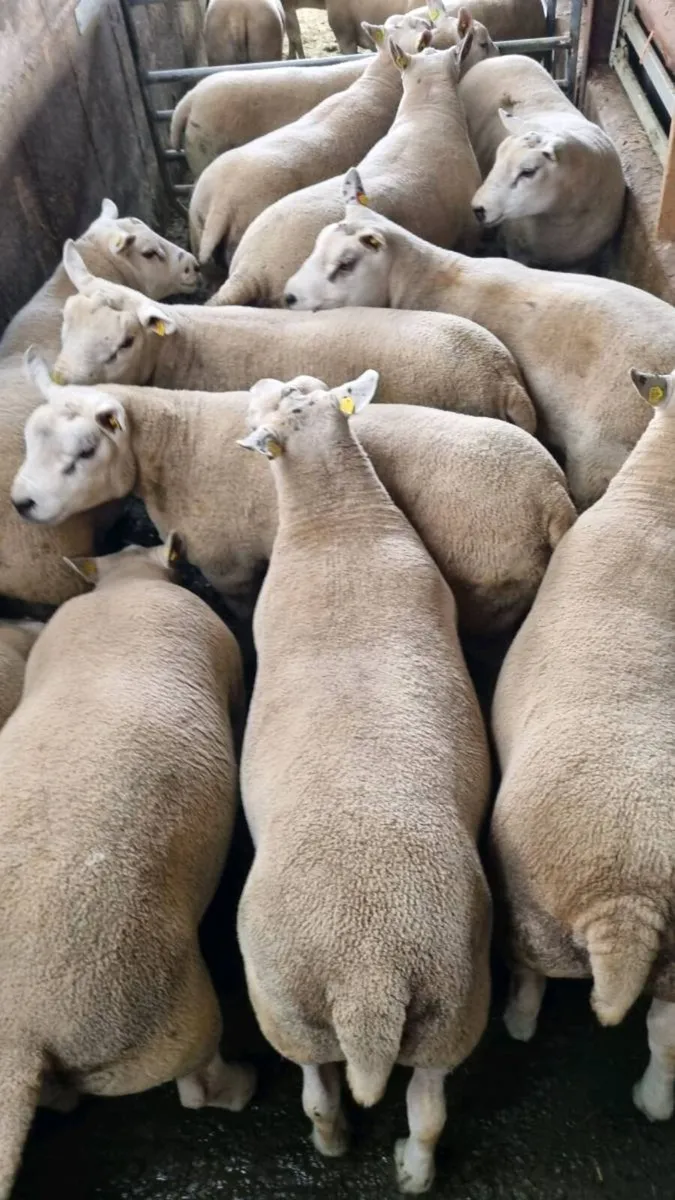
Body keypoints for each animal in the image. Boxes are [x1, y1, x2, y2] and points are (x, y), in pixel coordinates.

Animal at [13, 357, 573, 631]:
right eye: (29, 436)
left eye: (86, 451)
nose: (22, 503)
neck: (177, 446)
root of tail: (550, 496)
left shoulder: (228, 566)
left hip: (490, 588)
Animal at [236, 370, 492, 1192]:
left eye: (285, 399)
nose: (262, 380)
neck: (336, 525)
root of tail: (367, 976)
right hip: (449, 1005)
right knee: (430, 1107)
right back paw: (414, 1172)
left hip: (284, 1007)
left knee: (318, 1089)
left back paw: (337, 1145)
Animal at [461, 55, 626, 267]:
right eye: (498, 157)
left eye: (528, 171)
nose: (478, 209)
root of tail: (500, 57)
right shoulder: (517, 251)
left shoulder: (584, 261)